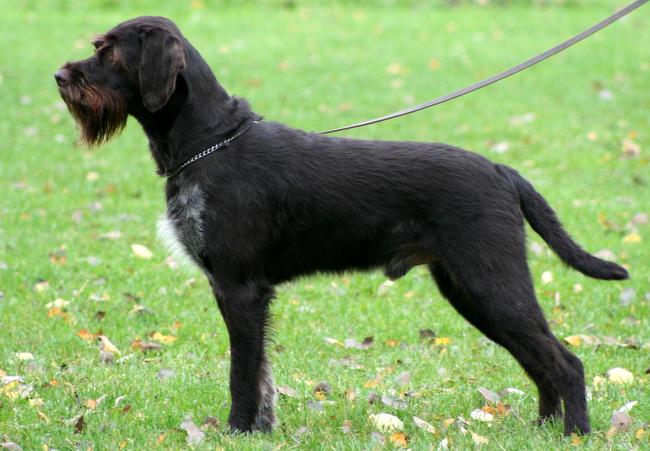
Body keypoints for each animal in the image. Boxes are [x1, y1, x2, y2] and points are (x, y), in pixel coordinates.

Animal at [55, 16, 628, 435]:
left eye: (110, 52)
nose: (61, 77)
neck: (209, 141)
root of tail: (500, 169)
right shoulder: (246, 292)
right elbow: (262, 372)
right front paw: (262, 428)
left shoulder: (239, 287)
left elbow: (242, 371)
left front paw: (237, 430)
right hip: (470, 291)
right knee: (540, 361)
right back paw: (542, 428)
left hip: (492, 283)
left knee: (566, 362)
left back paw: (575, 433)